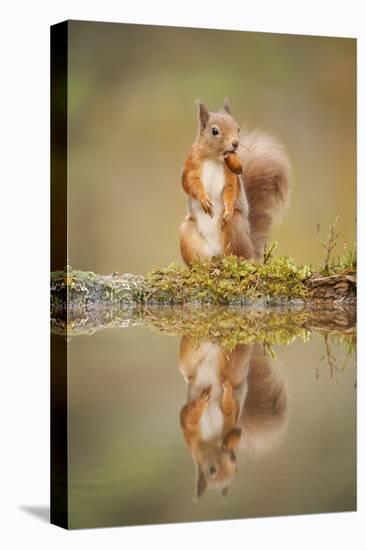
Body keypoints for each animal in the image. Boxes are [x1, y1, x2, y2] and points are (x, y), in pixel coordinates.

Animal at [179, 100, 290, 266]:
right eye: (214, 131)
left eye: (237, 128)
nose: (235, 143)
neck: (215, 158)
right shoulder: (191, 166)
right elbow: (189, 183)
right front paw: (204, 199)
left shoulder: (231, 176)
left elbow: (231, 190)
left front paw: (228, 208)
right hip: (187, 233)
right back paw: (205, 264)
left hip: (235, 227)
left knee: (238, 255)